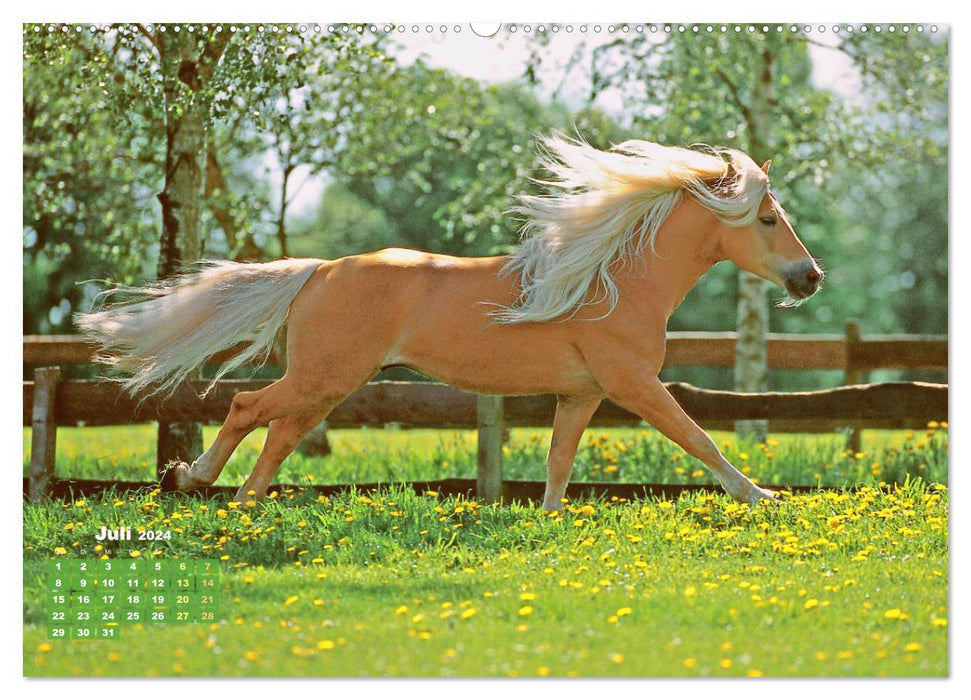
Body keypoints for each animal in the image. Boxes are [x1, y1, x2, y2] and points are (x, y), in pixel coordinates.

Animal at [78, 135, 820, 508]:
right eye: (765, 218)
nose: (809, 278)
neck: (615, 282)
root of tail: (318, 271)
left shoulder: (581, 393)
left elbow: (558, 461)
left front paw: (548, 520)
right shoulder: (633, 384)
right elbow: (700, 439)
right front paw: (761, 496)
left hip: (330, 381)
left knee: (280, 430)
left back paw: (247, 502)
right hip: (325, 375)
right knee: (245, 407)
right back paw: (194, 482)